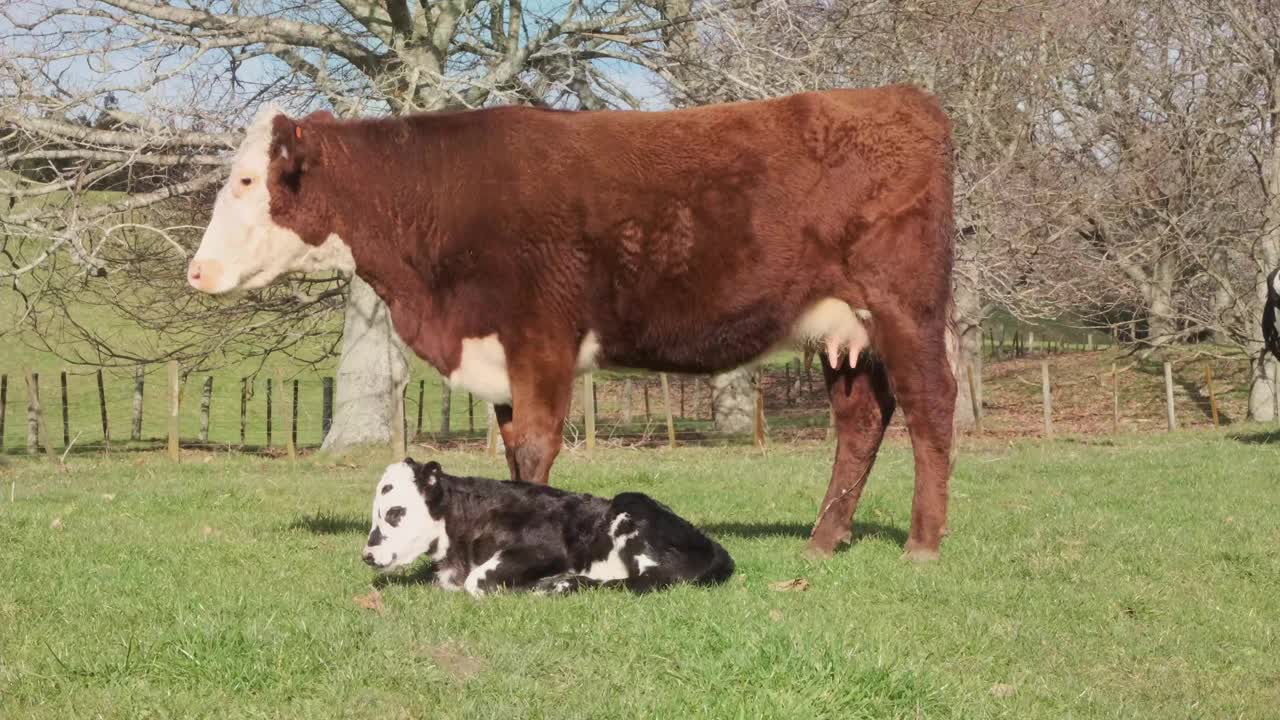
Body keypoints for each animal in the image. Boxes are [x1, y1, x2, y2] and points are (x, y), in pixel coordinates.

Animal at [185, 85, 957, 561]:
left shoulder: (540, 339)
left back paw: (922, 544)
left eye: (248, 181)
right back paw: (823, 541)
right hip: (846, 332)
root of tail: (898, 97)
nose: (196, 271)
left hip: (905, 307)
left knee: (930, 406)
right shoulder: (497, 354)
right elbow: (510, 453)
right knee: (861, 421)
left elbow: (534, 446)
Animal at [366, 456, 737, 597]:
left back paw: (560, 584)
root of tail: (715, 547)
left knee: (643, 582)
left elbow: (478, 581)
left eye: (395, 512)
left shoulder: (545, 549)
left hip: (630, 505)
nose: (367, 555)